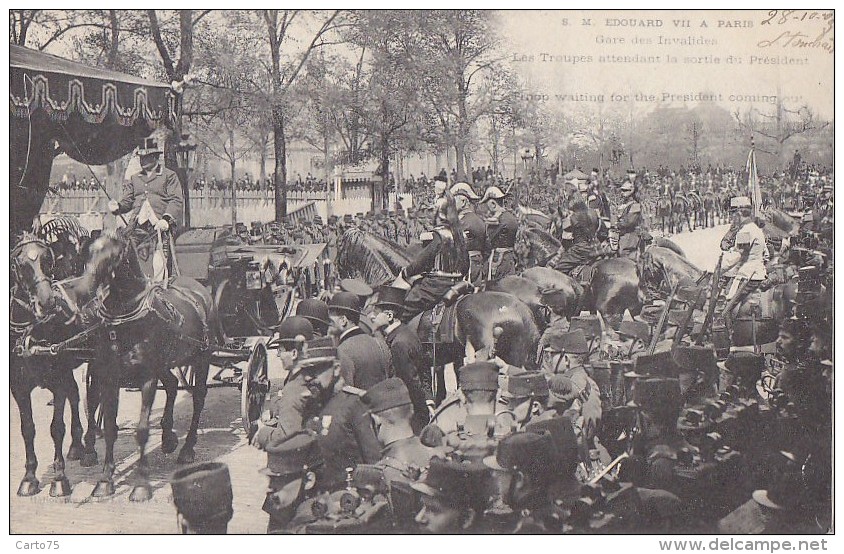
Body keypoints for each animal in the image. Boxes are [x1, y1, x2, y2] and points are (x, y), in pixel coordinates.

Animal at [79, 231, 216, 498]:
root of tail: (197, 288)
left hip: (201, 357)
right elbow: (109, 427)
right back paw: (168, 438)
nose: (85, 289)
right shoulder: (109, 377)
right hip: (164, 364)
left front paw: (141, 484)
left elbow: (141, 430)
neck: (124, 320)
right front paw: (105, 480)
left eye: (114, 254)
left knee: (198, 397)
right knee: (172, 384)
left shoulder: (147, 378)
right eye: (88, 251)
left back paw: (187, 448)